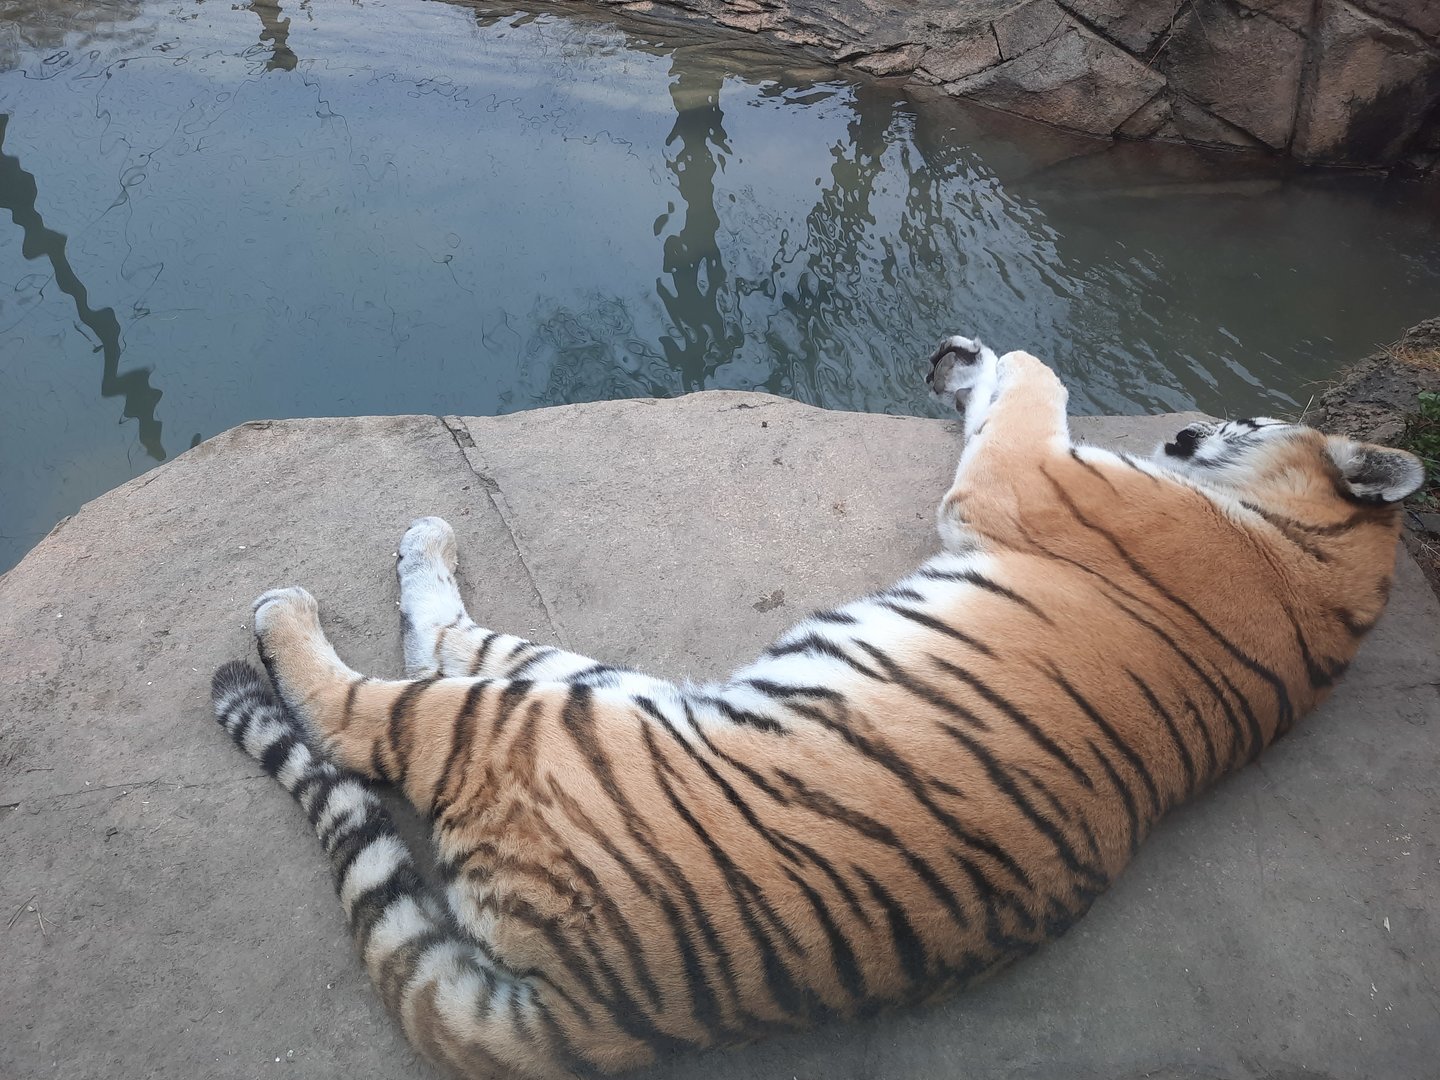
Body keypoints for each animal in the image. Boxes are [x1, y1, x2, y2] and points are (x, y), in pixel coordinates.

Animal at [209, 334, 1424, 1079]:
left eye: (1243, 417)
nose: (1180, 433)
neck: (1331, 566)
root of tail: (592, 1009)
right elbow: (1008, 393)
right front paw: (963, 363)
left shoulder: (1028, 480)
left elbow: (1035, 384)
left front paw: (996, 357)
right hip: (594, 687)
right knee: (445, 641)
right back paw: (428, 540)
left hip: (548, 724)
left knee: (369, 713)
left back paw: (296, 608)